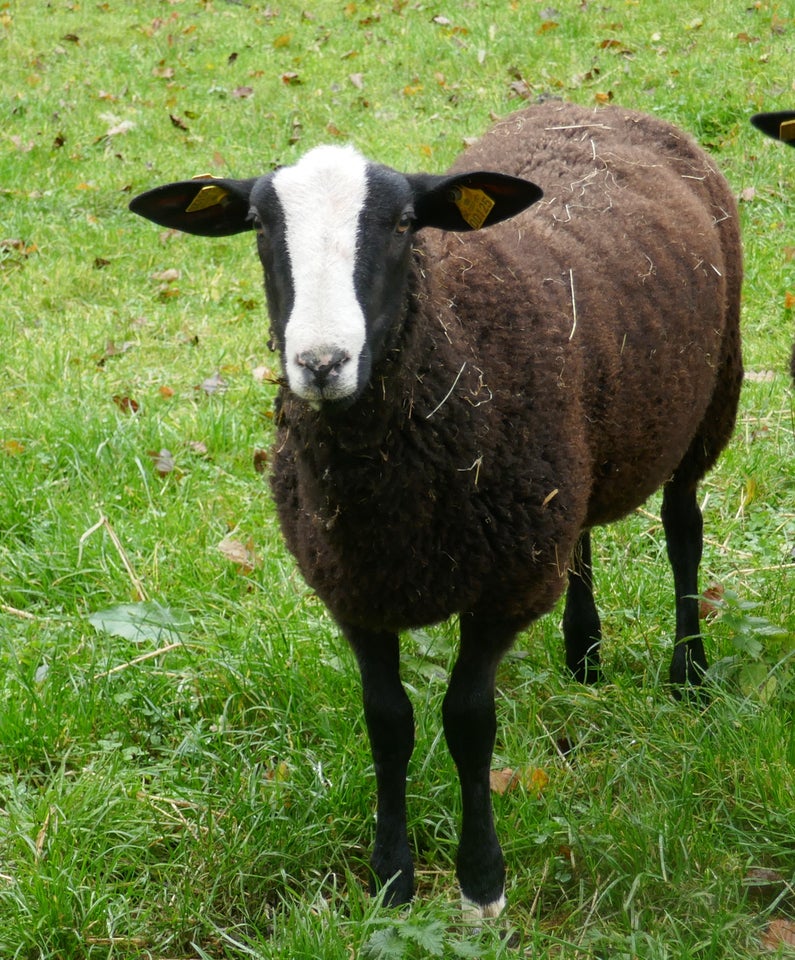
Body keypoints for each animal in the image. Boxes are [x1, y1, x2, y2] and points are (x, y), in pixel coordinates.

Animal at [127, 101, 744, 920]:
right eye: (259, 224)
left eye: (402, 224)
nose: (320, 364)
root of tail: (593, 107)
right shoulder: (354, 585)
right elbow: (387, 724)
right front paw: (392, 878)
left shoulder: (503, 588)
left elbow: (467, 722)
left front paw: (481, 883)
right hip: (571, 457)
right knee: (580, 531)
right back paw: (583, 656)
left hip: (711, 399)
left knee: (683, 532)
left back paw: (689, 673)